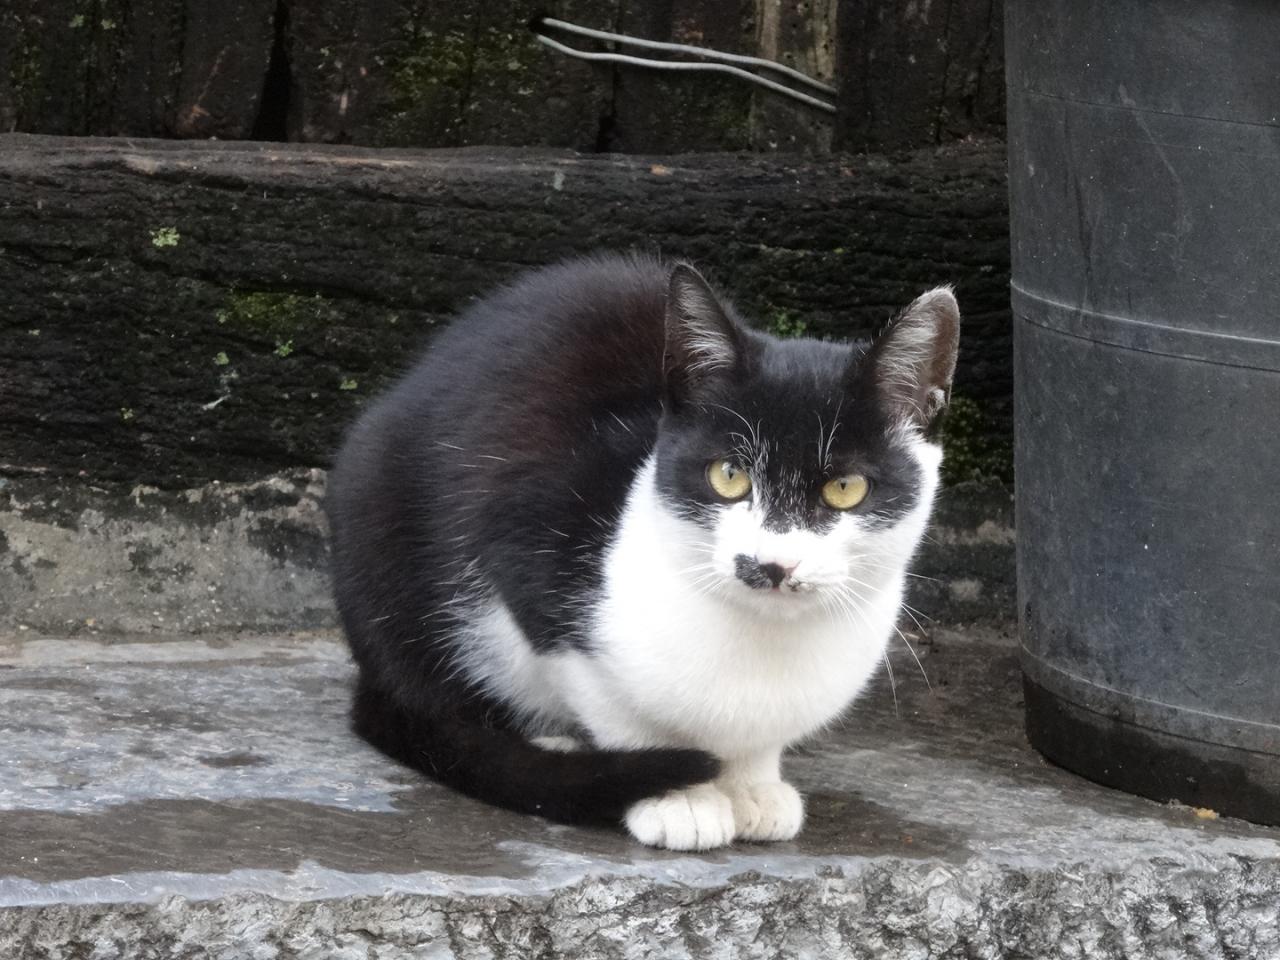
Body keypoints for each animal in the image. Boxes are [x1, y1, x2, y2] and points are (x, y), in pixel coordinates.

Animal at [325, 253, 959, 850]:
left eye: (846, 488)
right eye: (728, 476)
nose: (771, 564)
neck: (761, 642)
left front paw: (751, 782)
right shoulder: (523, 544)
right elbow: (608, 698)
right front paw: (679, 796)